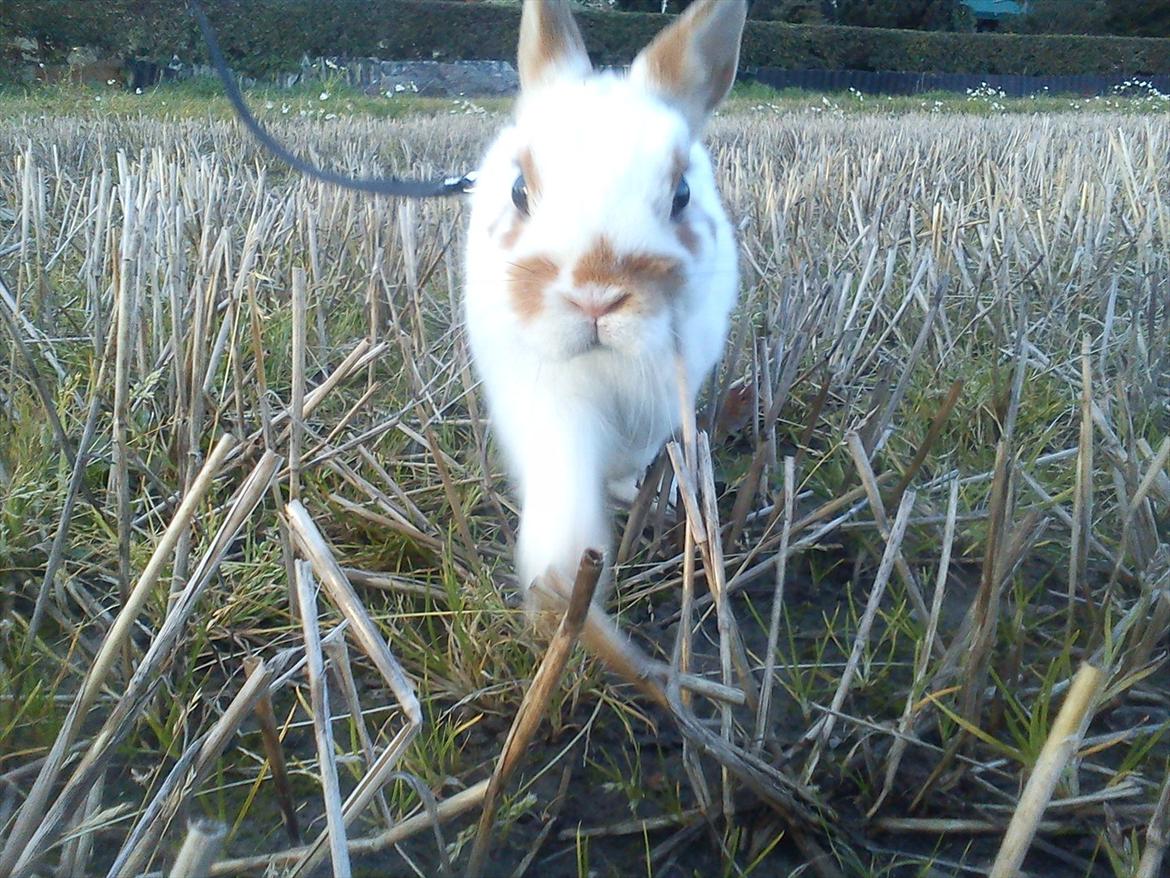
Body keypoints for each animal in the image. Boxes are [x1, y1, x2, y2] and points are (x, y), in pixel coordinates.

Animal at [463, 0, 744, 604]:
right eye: (519, 191)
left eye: (682, 193)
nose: (594, 297)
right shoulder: (546, 396)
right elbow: (564, 478)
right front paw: (562, 581)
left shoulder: (663, 398)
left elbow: (639, 456)